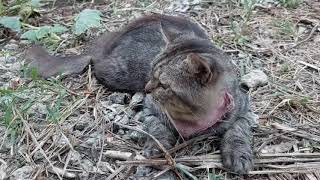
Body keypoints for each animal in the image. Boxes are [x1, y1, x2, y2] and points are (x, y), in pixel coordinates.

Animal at [25, 13, 258, 176]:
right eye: (152, 72)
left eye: (163, 84)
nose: (146, 88)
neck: (197, 119)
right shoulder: (150, 108)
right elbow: (157, 130)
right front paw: (157, 146)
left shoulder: (244, 109)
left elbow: (237, 132)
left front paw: (238, 154)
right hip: (116, 72)